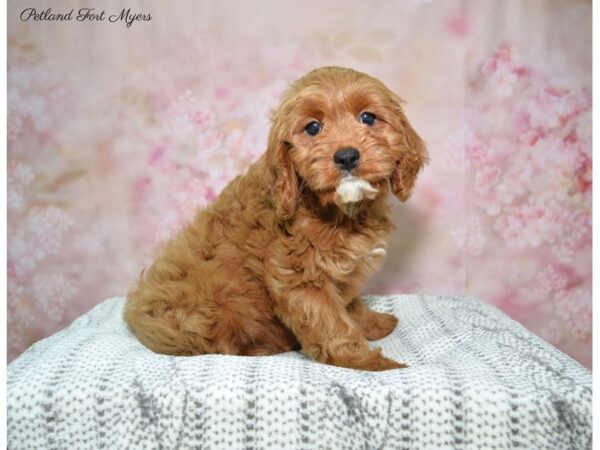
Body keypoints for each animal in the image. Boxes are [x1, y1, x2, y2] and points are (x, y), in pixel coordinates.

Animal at [124, 66, 426, 370]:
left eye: (368, 118)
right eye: (313, 128)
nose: (347, 156)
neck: (339, 210)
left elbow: (348, 304)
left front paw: (371, 323)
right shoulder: (300, 277)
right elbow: (331, 325)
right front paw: (372, 365)